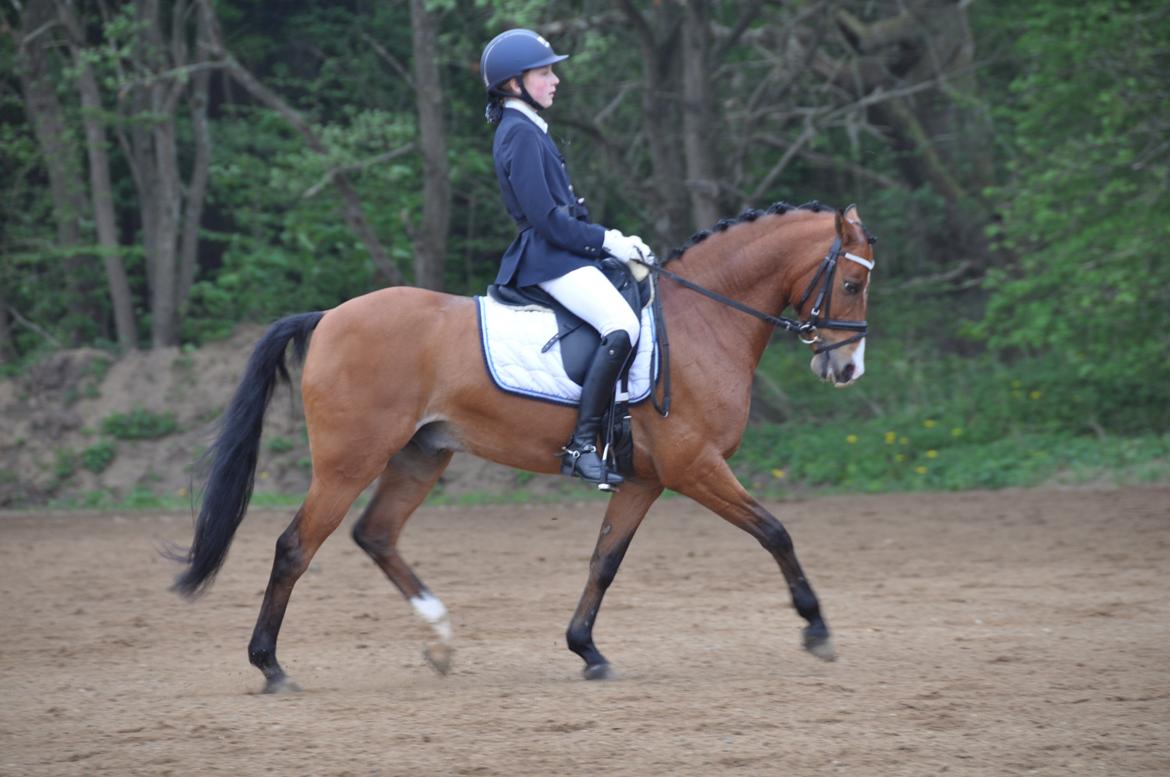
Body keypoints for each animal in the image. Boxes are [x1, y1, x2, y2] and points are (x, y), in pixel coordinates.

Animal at [172, 201, 876, 692]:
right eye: (850, 285)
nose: (846, 369)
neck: (703, 321)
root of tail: (327, 318)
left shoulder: (645, 479)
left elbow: (604, 562)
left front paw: (587, 650)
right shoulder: (695, 467)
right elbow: (774, 530)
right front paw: (817, 629)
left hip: (421, 454)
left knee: (376, 534)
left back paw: (440, 640)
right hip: (349, 462)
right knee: (296, 547)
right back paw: (271, 667)